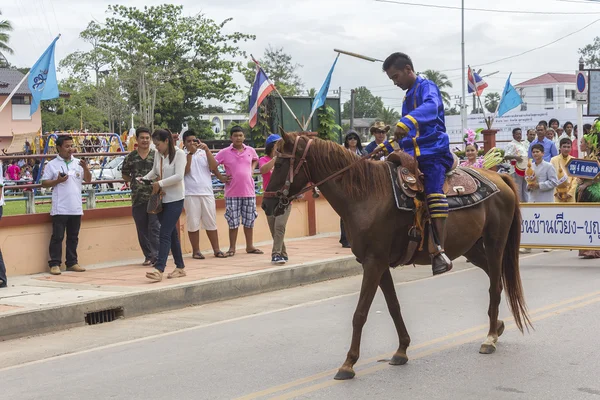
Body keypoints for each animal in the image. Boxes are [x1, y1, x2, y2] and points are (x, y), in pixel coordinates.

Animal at [262, 132, 528, 382]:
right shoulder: (378, 263)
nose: (266, 204)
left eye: (280, 164)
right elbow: (393, 306)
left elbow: (360, 313)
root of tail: (498, 177)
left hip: (494, 243)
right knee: (496, 280)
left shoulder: (374, 263)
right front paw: (401, 350)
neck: (365, 194)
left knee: (495, 285)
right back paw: (497, 326)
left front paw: (348, 364)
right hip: (470, 248)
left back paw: (490, 338)